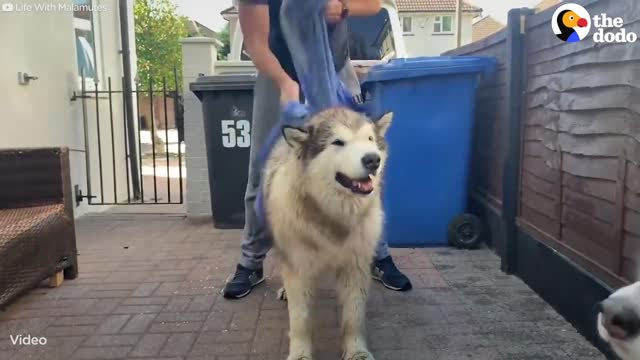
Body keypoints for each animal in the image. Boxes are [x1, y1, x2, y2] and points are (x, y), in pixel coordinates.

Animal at [262, 107, 392, 360]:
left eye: (370, 139)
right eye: (338, 142)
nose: (373, 159)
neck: (333, 215)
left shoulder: (355, 267)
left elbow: (353, 318)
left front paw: (357, 351)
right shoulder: (298, 267)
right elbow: (300, 319)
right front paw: (300, 354)